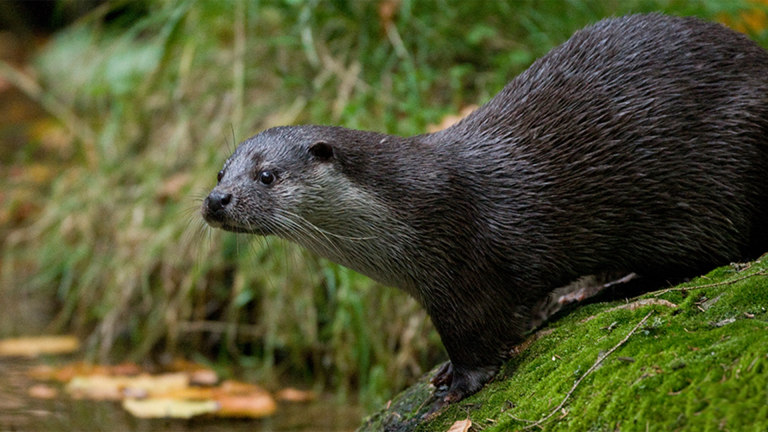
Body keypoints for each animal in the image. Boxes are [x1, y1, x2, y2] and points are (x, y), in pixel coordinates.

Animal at [202, 13, 768, 412]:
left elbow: (478, 334)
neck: (410, 207)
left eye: (267, 175)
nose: (215, 200)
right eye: (221, 171)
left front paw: (457, 385)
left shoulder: (463, 263)